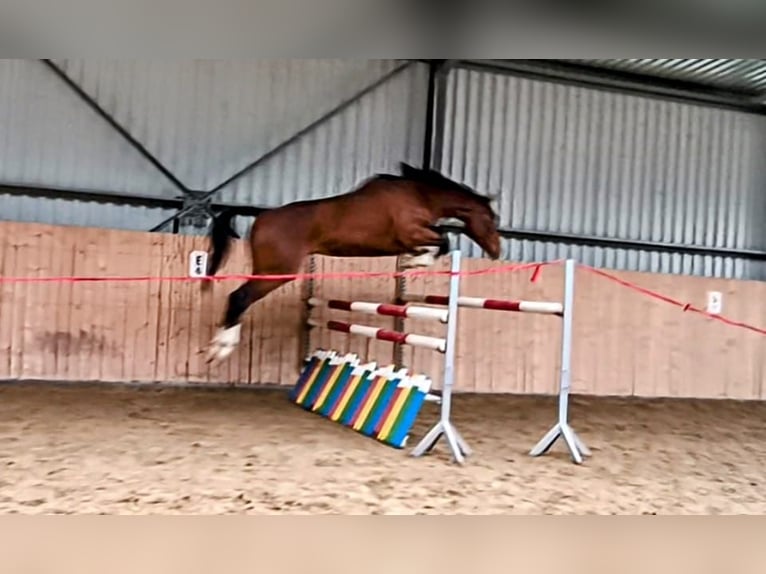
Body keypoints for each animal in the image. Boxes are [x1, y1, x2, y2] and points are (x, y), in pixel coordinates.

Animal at [202, 161, 502, 364]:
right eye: (492, 219)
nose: (497, 251)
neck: (419, 195)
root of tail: (263, 216)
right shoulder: (412, 232)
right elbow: (443, 240)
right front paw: (416, 262)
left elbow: (437, 242)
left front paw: (411, 261)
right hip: (277, 273)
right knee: (239, 297)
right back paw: (221, 348)